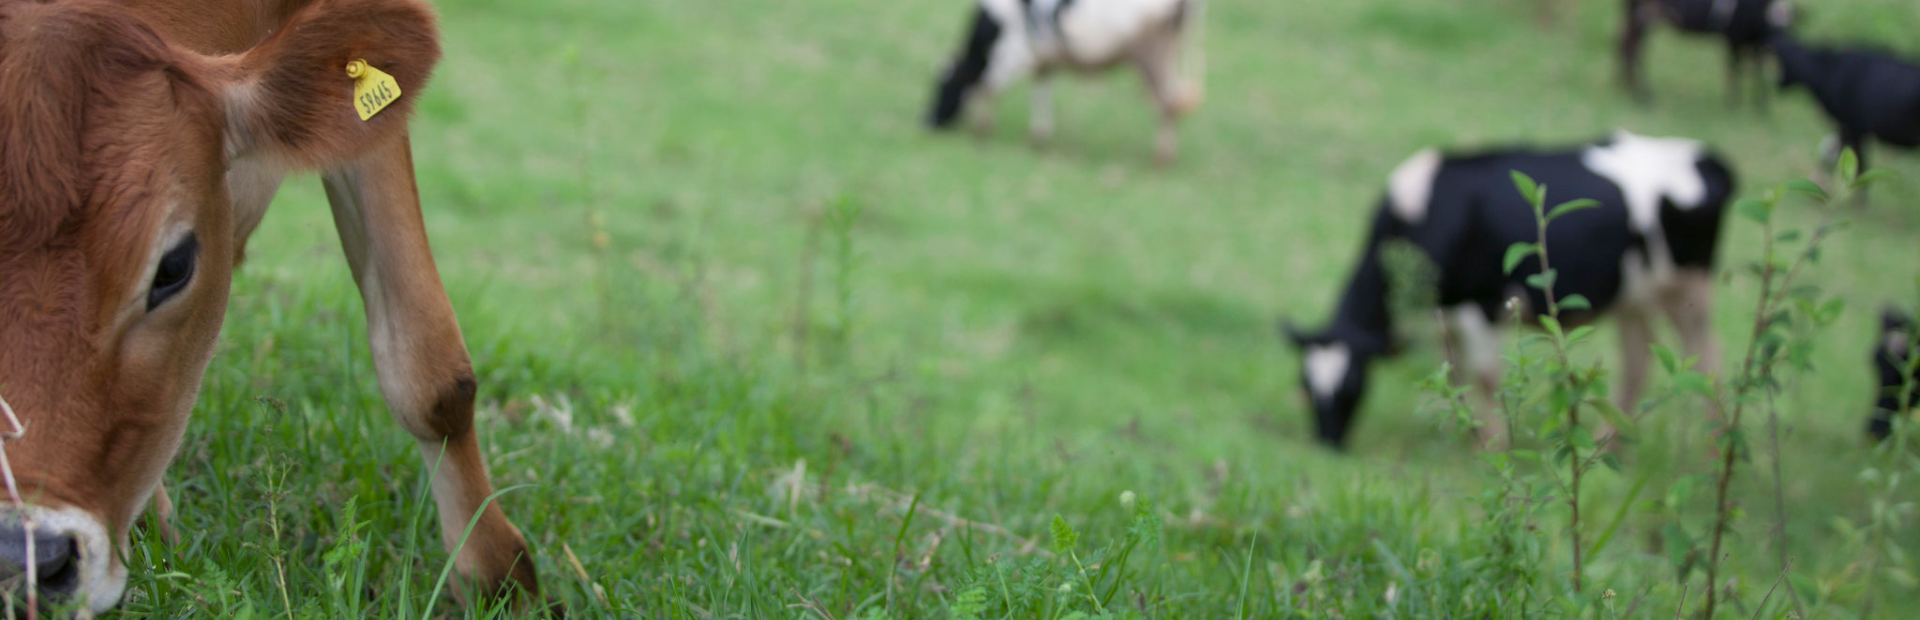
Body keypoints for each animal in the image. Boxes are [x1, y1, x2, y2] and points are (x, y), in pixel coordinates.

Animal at [926, 0, 1204, 164]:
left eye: (942, 86)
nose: (926, 121)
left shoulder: (1017, 53)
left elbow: (987, 86)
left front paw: (982, 128)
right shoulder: (1045, 61)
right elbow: (1040, 92)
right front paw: (1039, 136)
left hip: (1152, 55)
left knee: (1169, 103)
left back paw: (1162, 159)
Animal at [1283, 131, 1734, 450]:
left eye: (1353, 388)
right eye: (1304, 385)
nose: (1327, 443)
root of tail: (1707, 157)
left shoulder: (1480, 306)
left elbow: (1484, 378)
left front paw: (1494, 447)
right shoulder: (1445, 315)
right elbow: (1455, 371)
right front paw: (1463, 433)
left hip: (1690, 287)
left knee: (1709, 357)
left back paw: (1714, 448)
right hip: (1635, 296)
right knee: (1638, 361)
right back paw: (1607, 445)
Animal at [1618, 0, 1797, 107]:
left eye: (1789, 29)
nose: (1777, 42)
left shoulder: (1750, 42)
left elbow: (1755, 70)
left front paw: (1761, 107)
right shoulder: (1734, 37)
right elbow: (1735, 70)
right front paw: (1734, 104)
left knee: (1625, 45)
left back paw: (1626, 86)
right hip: (1641, 17)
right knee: (1633, 49)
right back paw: (1641, 93)